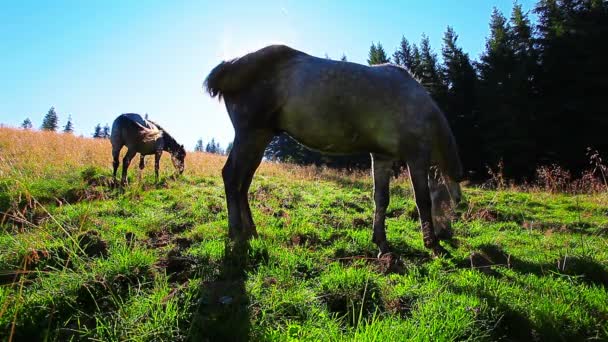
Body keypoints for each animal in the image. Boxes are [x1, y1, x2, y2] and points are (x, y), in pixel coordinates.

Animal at [203, 44, 460, 256]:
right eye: (450, 202)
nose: (448, 234)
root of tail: (229, 68)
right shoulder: (416, 155)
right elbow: (422, 199)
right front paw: (433, 244)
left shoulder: (382, 156)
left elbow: (381, 199)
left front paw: (381, 243)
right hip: (249, 134)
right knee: (231, 177)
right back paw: (236, 233)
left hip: (259, 138)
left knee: (243, 183)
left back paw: (251, 232)